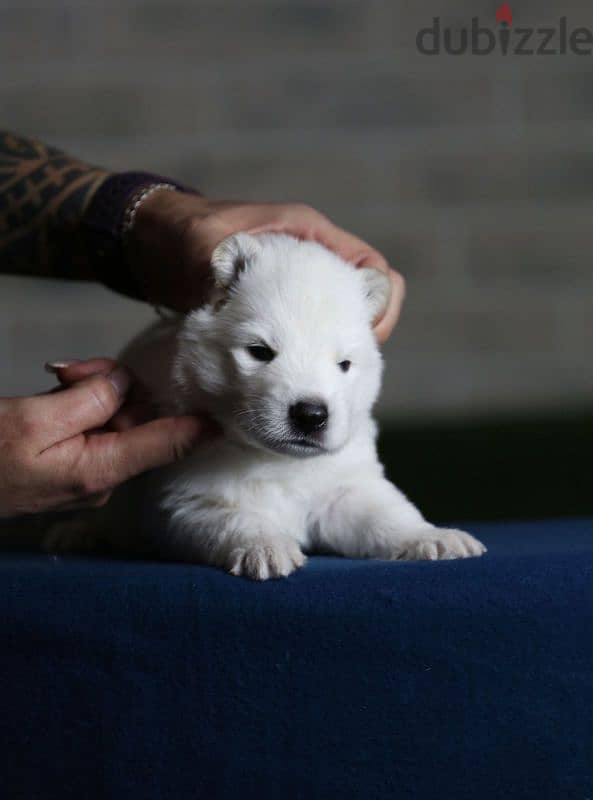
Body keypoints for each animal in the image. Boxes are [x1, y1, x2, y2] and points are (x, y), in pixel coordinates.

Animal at [45, 234, 480, 580]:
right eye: (259, 352)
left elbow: (385, 513)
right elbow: (237, 518)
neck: (277, 461)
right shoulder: (191, 499)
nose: (311, 415)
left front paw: (433, 537)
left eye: (344, 364)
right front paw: (266, 548)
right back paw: (78, 533)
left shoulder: (345, 488)